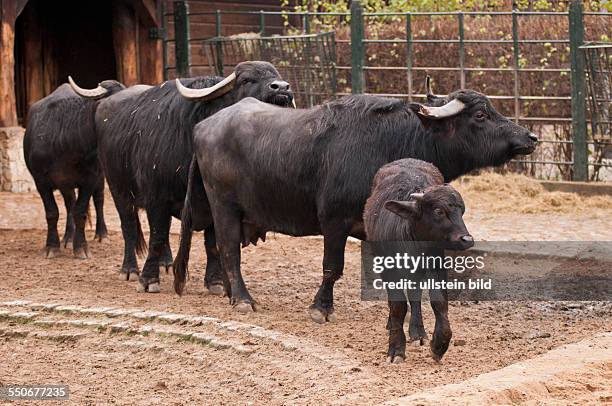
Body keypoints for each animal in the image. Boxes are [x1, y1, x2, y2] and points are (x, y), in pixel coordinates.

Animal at [23, 78, 125, 256]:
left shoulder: (91, 178)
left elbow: (80, 211)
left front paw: (81, 247)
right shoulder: (40, 180)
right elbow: (52, 212)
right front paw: (52, 246)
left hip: (100, 176)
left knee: (98, 200)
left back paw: (102, 234)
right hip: (66, 184)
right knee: (70, 203)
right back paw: (68, 237)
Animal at [69, 60, 294, 292]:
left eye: (277, 76)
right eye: (246, 80)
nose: (282, 88)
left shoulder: (213, 199)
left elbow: (211, 242)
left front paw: (215, 281)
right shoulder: (156, 198)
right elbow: (157, 237)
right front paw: (148, 279)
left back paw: (166, 262)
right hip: (118, 189)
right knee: (129, 227)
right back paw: (129, 269)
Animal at [173, 83, 536, 320]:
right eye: (480, 114)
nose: (530, 137)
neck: (394, 141)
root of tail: (204, 126)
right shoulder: (334, 221)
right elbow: (332, 267)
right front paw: (320, 308)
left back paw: (231, 294)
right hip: (224, 206)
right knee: (228, 250)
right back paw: (243, 299)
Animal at [364, 157, 474, 364]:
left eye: (461, 211)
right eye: (439, 211)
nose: (467, 239)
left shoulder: (436, 265)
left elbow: (439, 302)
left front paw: (439, 344)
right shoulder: (390, 270)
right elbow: (398, 306)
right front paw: (396, 348)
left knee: (415, 294)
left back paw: (417, 332)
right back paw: (392, 325)